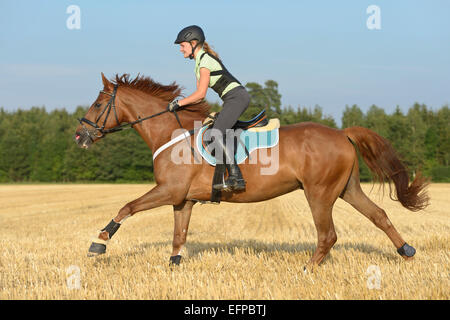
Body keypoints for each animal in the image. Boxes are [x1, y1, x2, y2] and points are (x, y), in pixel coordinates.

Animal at [74, 74, 428, 266]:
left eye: (97, 104)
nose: (80, 135)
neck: (171, 133)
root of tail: (342, 132)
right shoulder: (182, 199)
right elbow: (179, 235)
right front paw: (173, 265)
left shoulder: (168, 191)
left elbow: (127, 207)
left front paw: (99, 242)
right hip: (346, 189)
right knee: (379, 215)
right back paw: (407, 251)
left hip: (320, 193)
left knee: (328, 234)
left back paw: (307, 269)